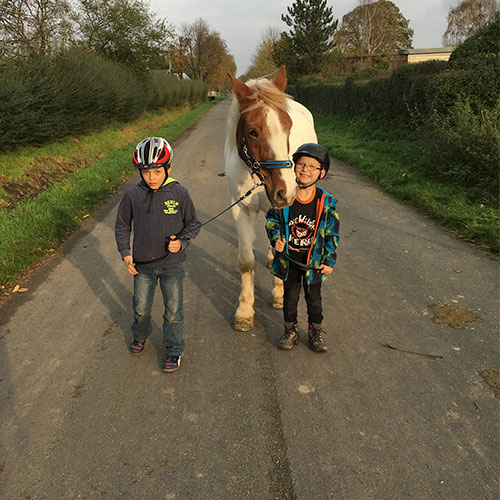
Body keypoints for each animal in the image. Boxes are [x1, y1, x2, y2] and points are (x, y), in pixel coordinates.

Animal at [226, 67, 316, 332]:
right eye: (253, 131)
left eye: (288, 126)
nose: (285, 190)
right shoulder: (240, 208)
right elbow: (246, 261)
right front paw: (245, 311)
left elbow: (284, 253)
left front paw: (278, 295)